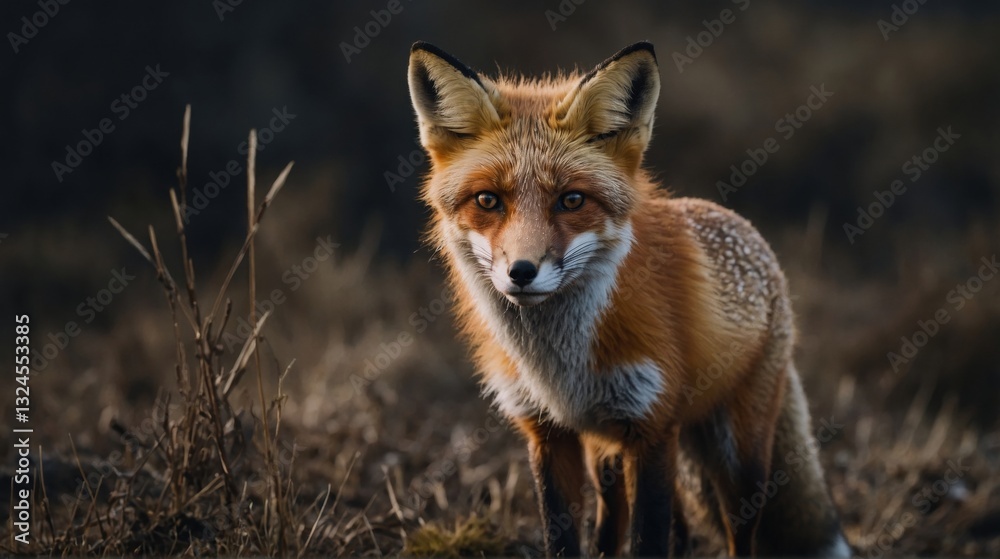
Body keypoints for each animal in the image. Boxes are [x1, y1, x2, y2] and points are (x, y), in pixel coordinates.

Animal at [406, 41, 850, 558]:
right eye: (488, 200)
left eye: (572, 200)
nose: (521, 272)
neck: (560, 369)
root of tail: (754, 237)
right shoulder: (548, 432)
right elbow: (565, 537)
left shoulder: (652, 428)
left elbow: (649, 538)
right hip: (609, 450)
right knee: (628, 518)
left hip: (738, 453)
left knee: (739, 533)